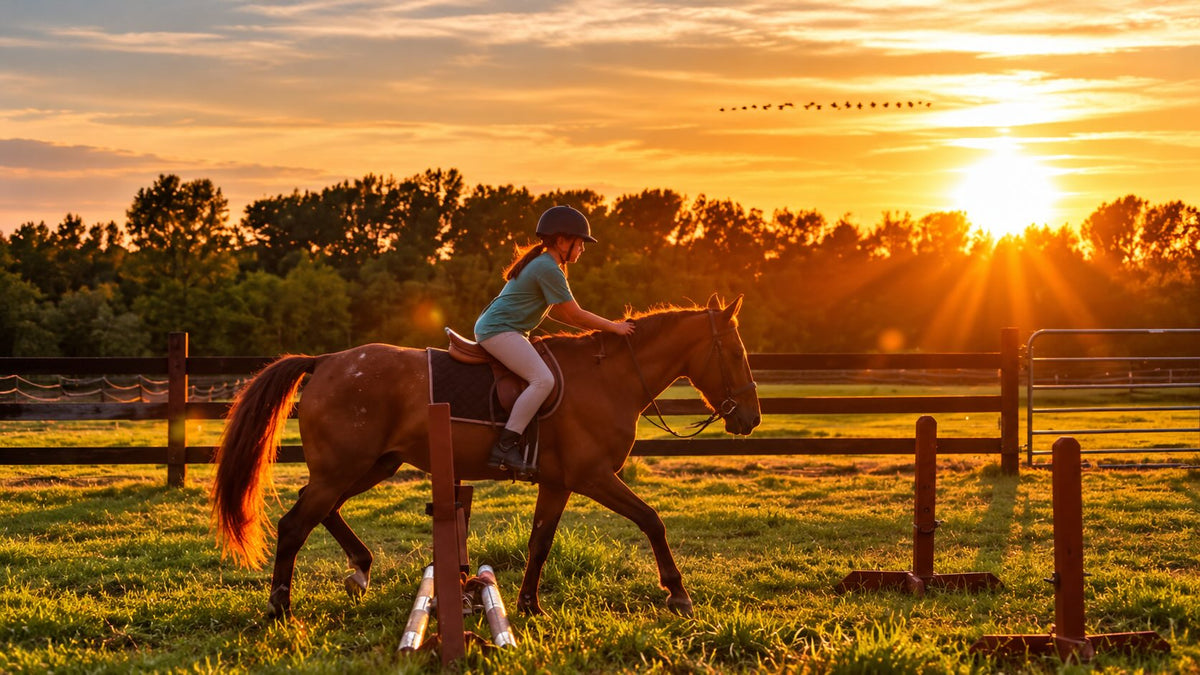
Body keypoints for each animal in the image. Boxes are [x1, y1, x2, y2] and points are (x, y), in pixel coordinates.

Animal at [210, 294, 761, 620]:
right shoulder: (593, 476)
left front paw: (529, 605)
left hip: (371, 465)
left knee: (320, 509)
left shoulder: (558, 482)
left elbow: (540, 543)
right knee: (295, 523)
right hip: (346, 467)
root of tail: (325, 361)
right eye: (736, 354)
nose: (750, 418)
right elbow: (652, 520)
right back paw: (280, 608)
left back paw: (360, 569)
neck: (608, 379)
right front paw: (679, 594)